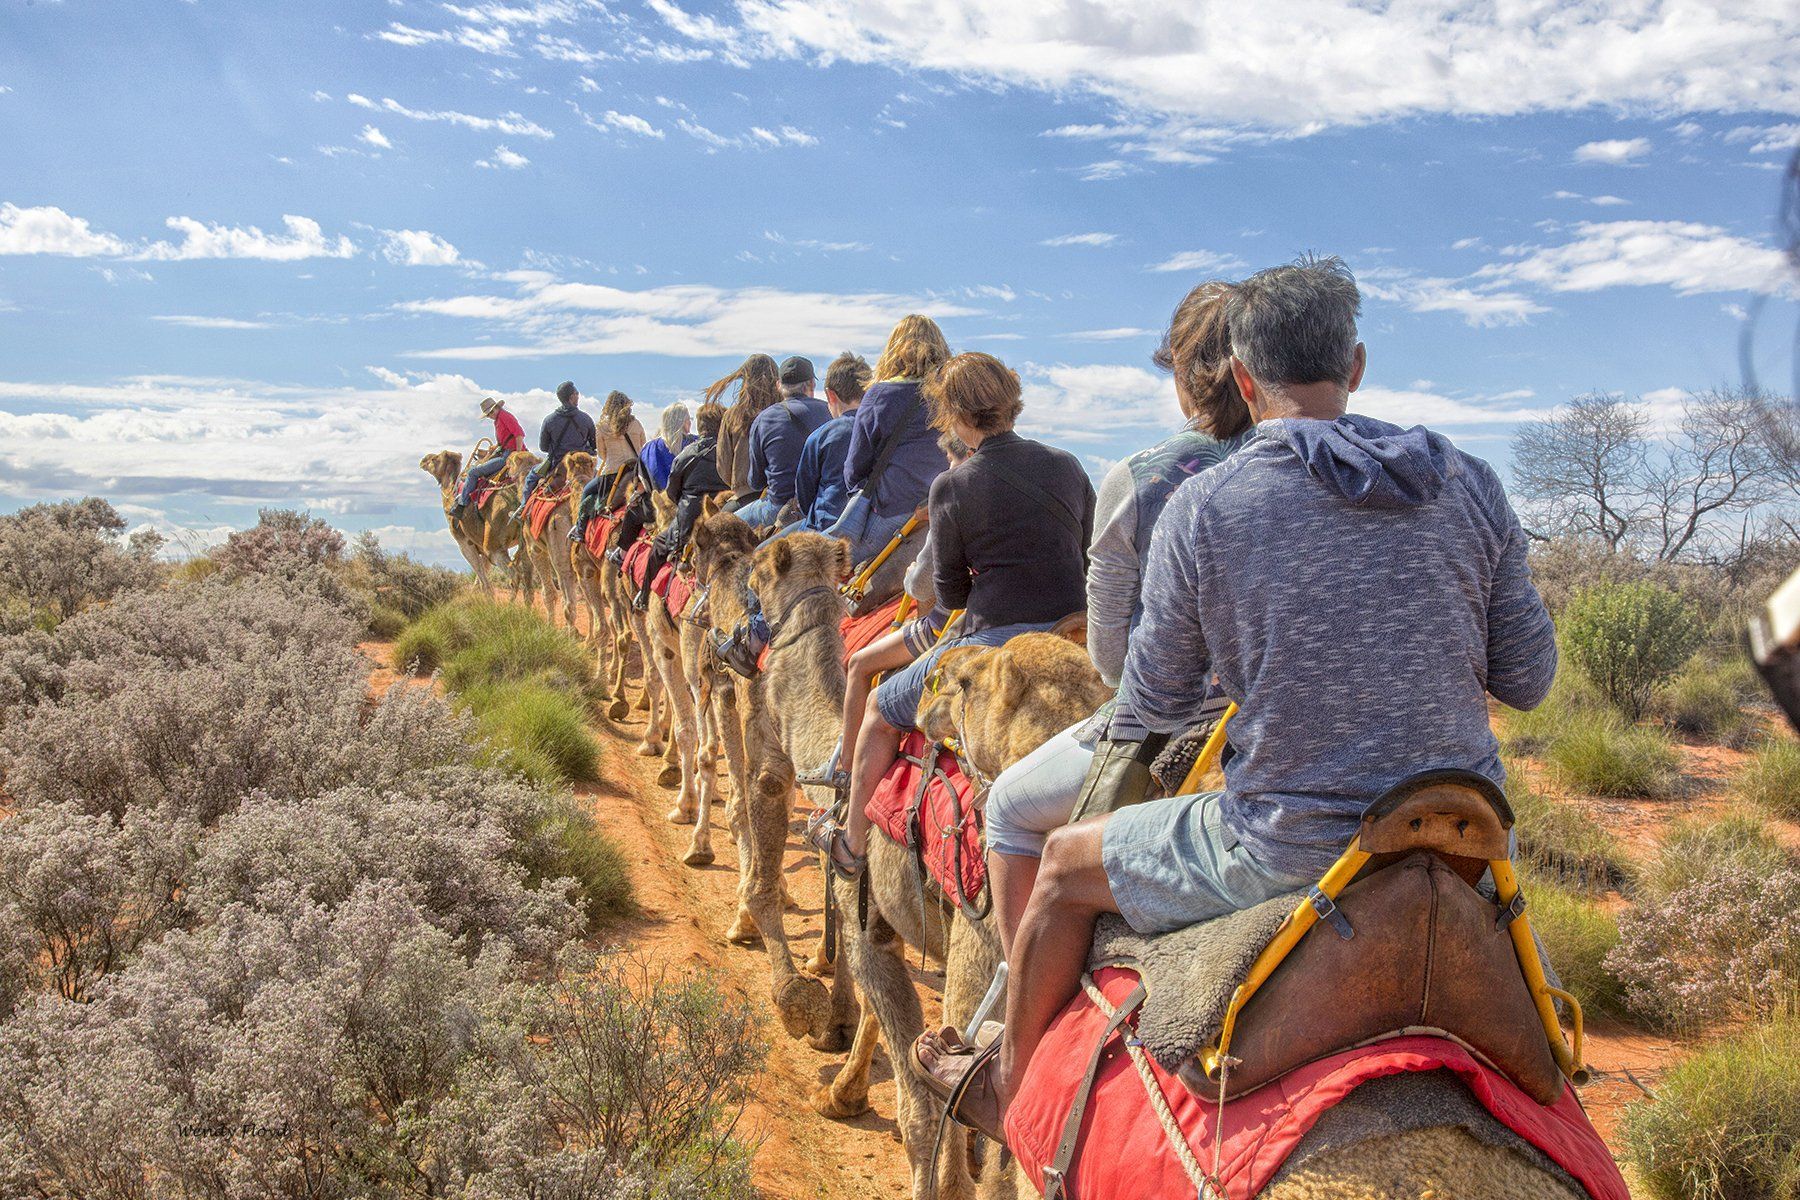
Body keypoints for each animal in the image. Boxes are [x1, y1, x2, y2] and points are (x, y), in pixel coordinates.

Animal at [419, 449, 530, 599]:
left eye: (435, 459)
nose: (423, 460)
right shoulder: (481, 546)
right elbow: (481, 577)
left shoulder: (465, 543)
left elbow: (480, 574)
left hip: (494, 546)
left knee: (515, 574)